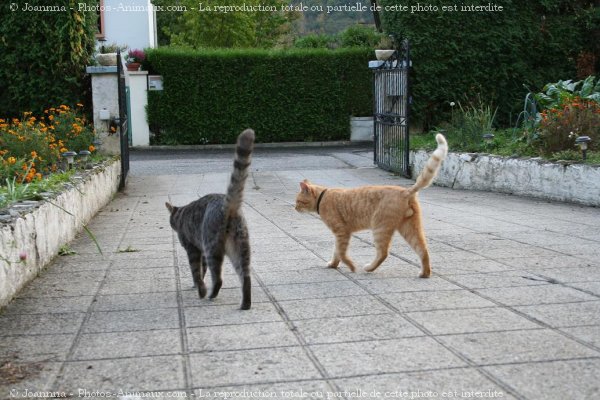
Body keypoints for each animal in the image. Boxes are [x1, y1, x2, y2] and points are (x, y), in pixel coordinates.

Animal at [165, 130, 254, 310]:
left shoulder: (193, 248)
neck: (181, 213)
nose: (171, 224)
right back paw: (245, 303)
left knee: (218, 278)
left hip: (211, 244)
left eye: (171, 221)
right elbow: (202, 270)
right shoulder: (201, 251)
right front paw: (198, 284)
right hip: (240, 245)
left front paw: (200, 288)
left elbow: (196, 271)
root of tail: (227, 205)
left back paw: (211, 294)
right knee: (246, 276)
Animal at [296, 134, 446, 278]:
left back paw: (369, 268)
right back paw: (425, 273)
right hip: (409, 228)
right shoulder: (340, 235)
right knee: (423, 249)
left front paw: (351, 266)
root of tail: (406, 191)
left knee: (383, 253)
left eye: (298, 201)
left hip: (380, 227)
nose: (295, 208)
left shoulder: (342, 232)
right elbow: (336, 252)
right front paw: (333, 265)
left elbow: (342, 253)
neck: (323, 197)